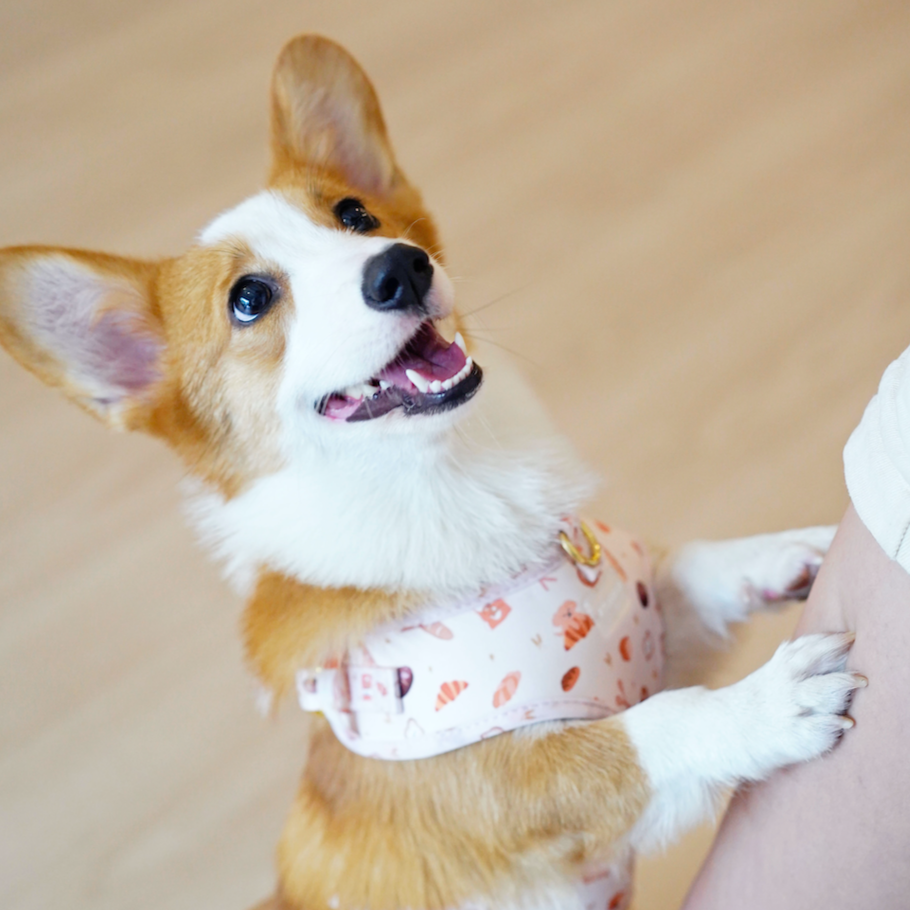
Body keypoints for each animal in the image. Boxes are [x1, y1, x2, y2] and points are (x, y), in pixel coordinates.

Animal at [0, 33, 864, 910]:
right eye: (248, 299)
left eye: (355, 214)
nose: (400, 268)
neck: (451, 480)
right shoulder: (504, 780)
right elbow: (656, 728)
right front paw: (768, 704)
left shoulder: (644, 635)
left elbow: (689, 569)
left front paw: (790, 552)